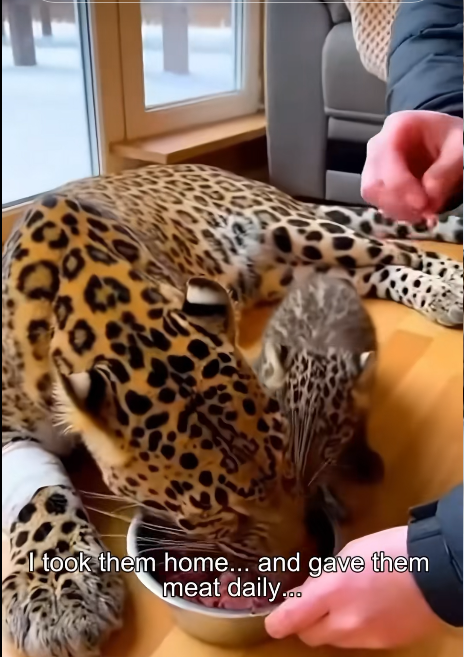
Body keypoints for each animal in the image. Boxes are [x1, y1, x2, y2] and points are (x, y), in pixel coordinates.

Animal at [2, 163, 462, 657]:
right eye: (217, 512)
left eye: (286, 464)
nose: (300, 560)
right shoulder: (9, 429)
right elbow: (41, 503)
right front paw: (56, 589)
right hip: (302, 269)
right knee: (378, 269)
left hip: (302, 232)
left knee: (405, 249)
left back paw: (451, 288)